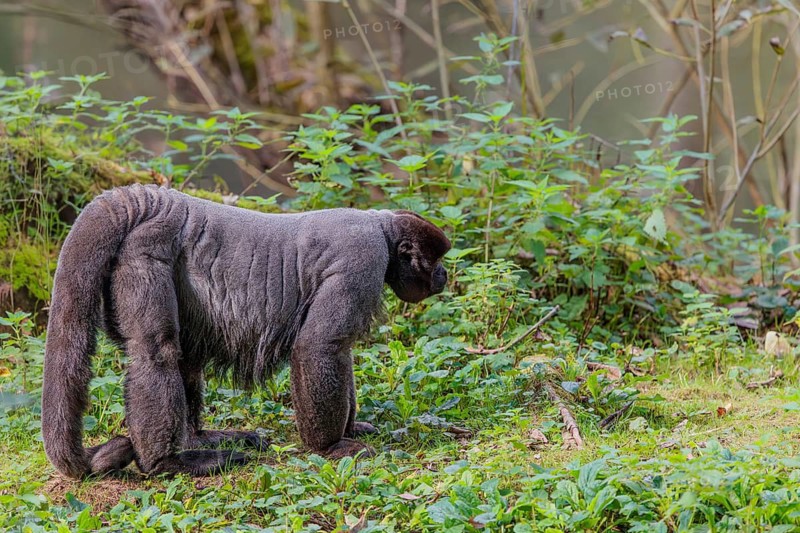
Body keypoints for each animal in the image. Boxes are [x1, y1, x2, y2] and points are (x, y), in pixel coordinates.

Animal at [41, 184, 451, 478]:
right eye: (437, 260)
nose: (445, 274)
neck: (381, 228)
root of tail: (158, 201)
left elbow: (340, 352)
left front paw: (351, 430)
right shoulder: (363, 259)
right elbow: (320, 346)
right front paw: (331, 447)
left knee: (186, 355)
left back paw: (197, 439)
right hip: (146, 249)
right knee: (157, 351)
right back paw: (165, 463)